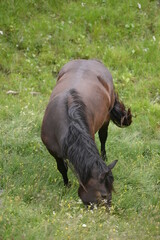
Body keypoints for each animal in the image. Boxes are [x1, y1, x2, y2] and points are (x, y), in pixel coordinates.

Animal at [41, 59, 132, 207]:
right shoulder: (53, 151)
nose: (109, 210)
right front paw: (66, 186)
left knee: (103, 137)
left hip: (106, 118)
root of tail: (90, 60)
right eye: (103, 195)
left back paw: (104, 156)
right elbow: (62, 168)